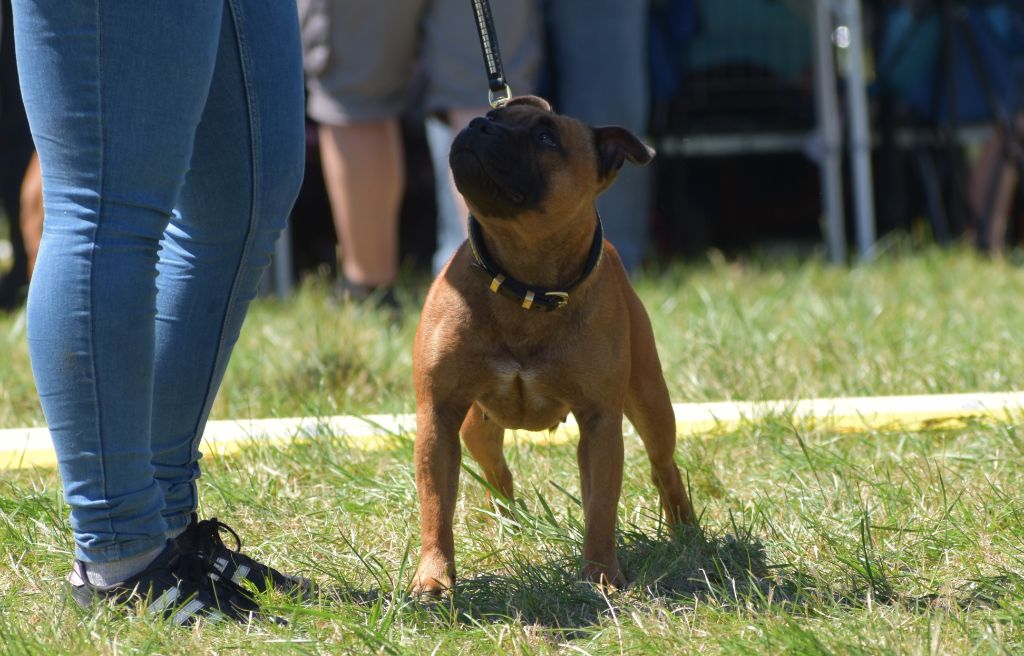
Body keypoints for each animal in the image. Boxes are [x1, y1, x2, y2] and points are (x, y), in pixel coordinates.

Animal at [411, 96, 692, 593]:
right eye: (494, 116)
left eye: (546, 137)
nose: (478, 124)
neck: (524, 283)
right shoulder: (438, 416)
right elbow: (435, 506)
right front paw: (434, 577)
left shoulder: (600, 423)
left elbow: (601, 508)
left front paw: (601, 574)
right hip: (475, 427)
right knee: (496, 472)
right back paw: (507, 520)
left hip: (652, 405)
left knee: (664, 465)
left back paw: (685, 529)